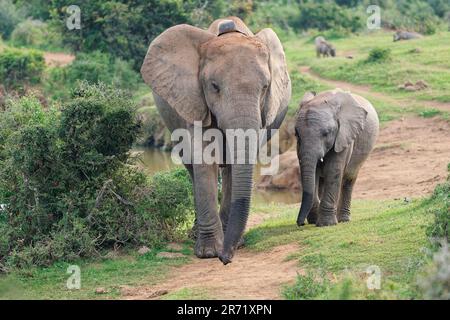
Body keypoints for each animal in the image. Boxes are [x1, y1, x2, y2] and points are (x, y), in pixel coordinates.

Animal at [141, 16, 292, 264]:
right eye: (214, 87)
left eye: (265, 87)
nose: (225, 259)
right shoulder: (194, 101)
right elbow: (204, 158)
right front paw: (209, 253)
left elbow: (234, 163)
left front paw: (233, 245)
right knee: (191, 167)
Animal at [296, 89, 380, 226]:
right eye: (296, 134)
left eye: (326, 133)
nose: (300, 223)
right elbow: (314, 172)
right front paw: (315, 220)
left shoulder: (344, 135)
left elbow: (333, 170)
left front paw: (326, 224)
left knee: (348, 180)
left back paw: (343, 220)